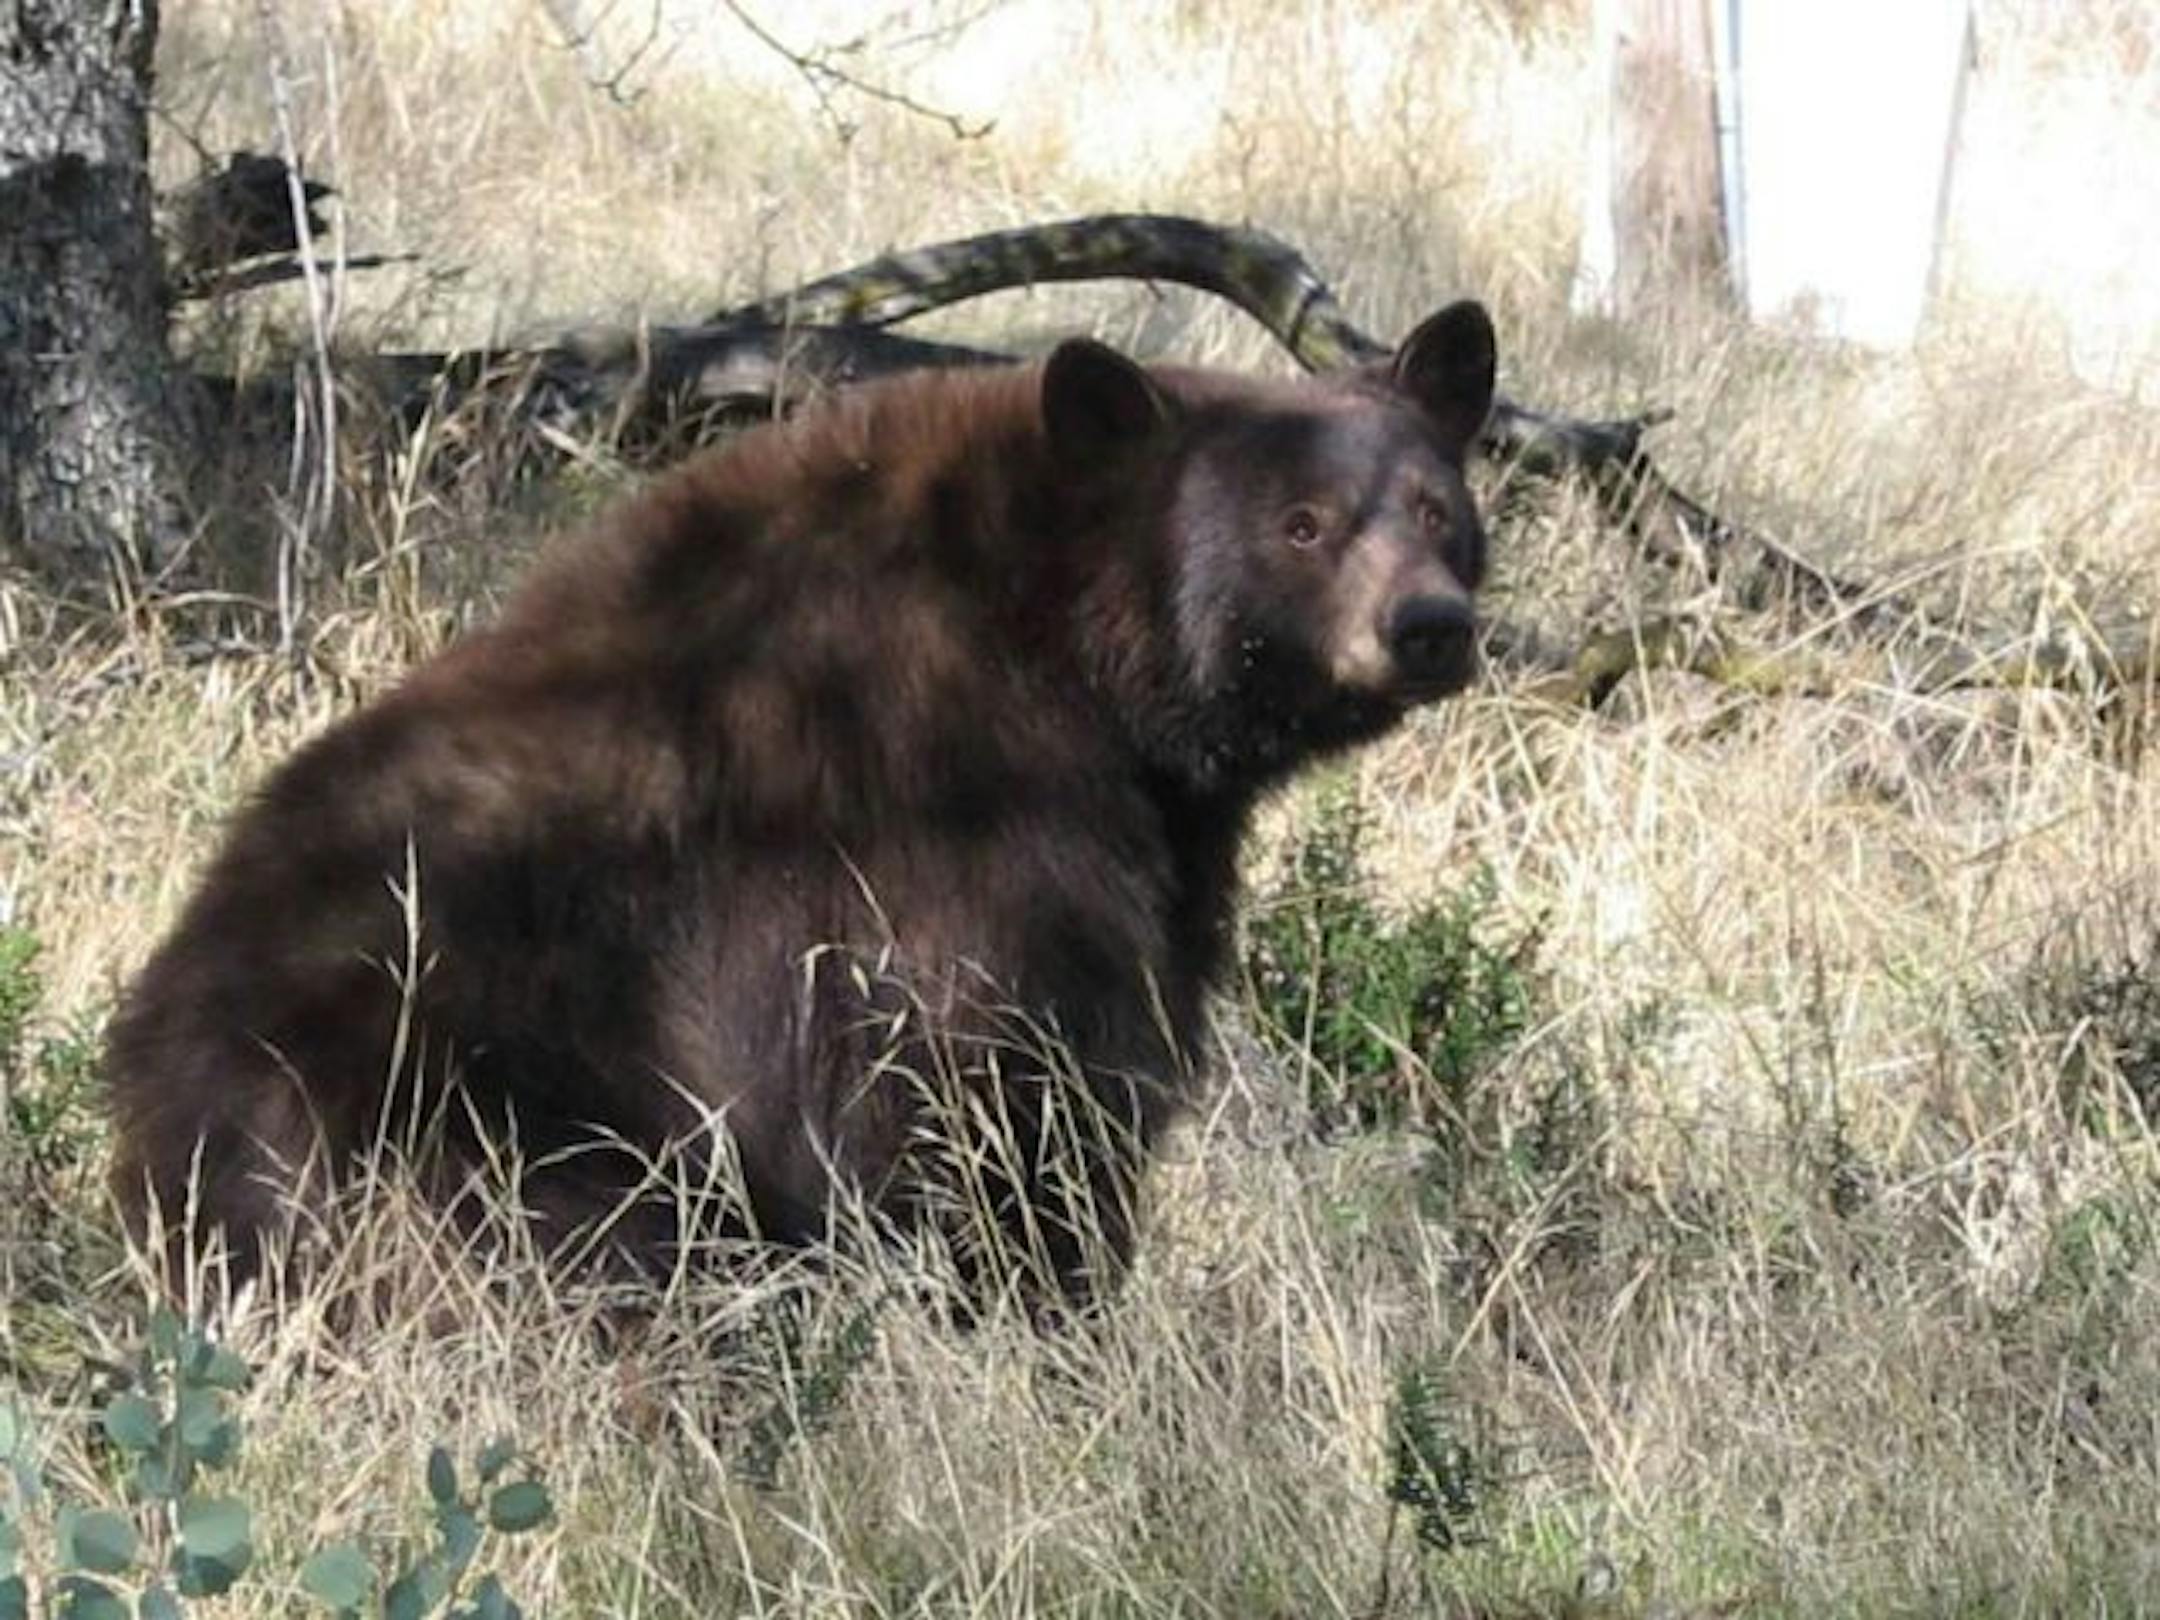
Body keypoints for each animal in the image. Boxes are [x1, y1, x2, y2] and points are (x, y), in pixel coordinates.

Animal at [105, 299, 1498, 1314]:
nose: (1429, 625)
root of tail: (156, 1114)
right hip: (475, 1126)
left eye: (1442, 511)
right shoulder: (960, 844)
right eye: (1302, 524)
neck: (1071, 652)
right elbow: (1006, 1109)